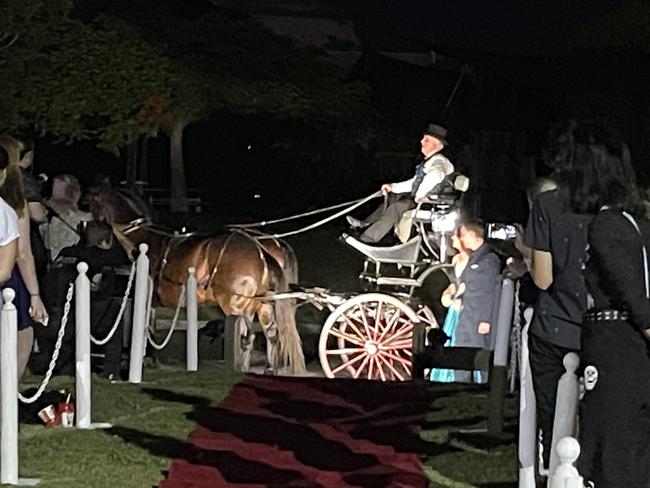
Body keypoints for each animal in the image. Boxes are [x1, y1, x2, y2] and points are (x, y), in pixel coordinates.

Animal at [87, 187, 306, 374]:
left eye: (89, 205)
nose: (91, 238)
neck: (147, 241)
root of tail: (261, 251)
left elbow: (146, 328)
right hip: (262, 304)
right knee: (271, 333)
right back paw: (266, 369)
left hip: (235, 303)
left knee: (248, 333)